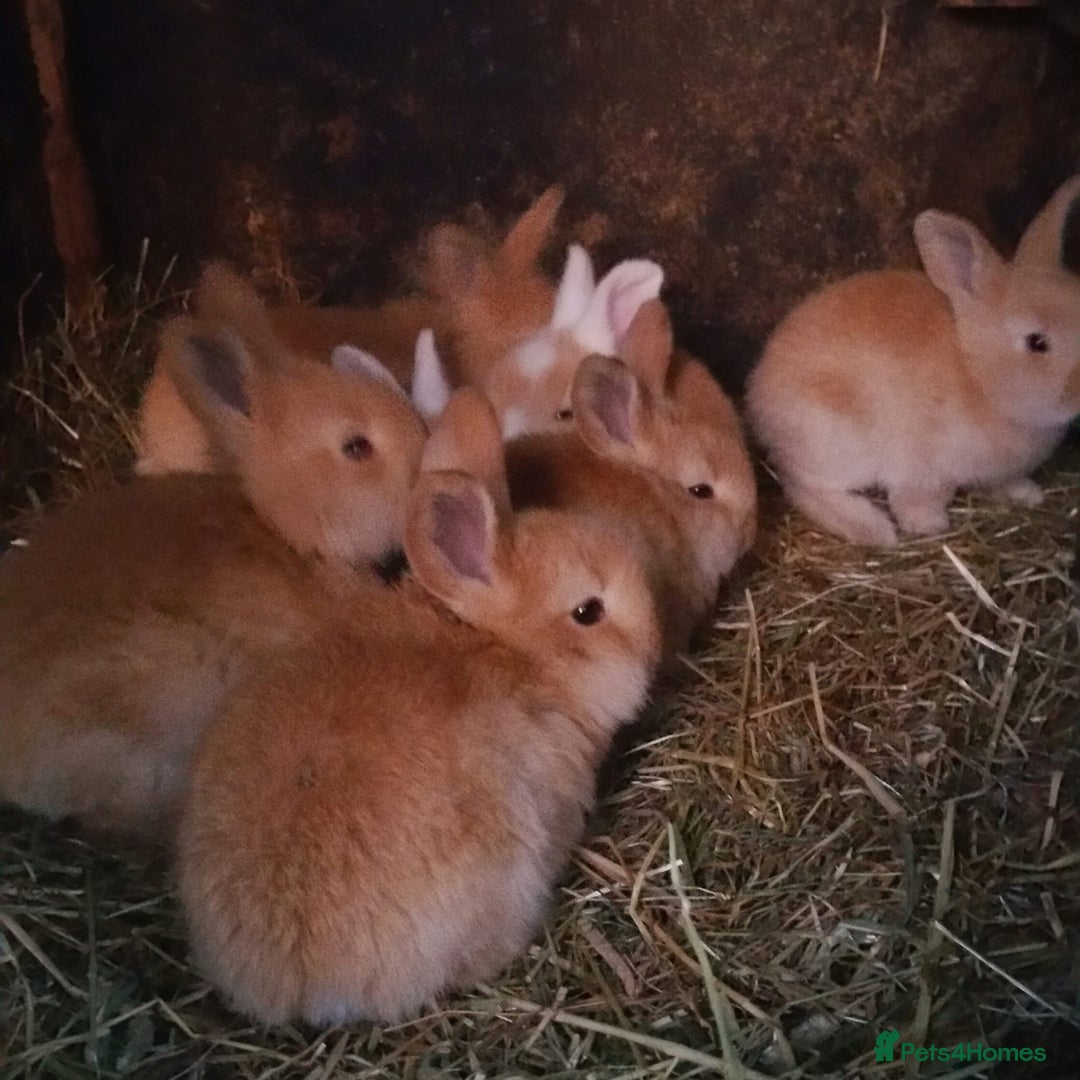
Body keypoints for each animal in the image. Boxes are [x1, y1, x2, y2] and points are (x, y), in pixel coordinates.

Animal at [745, 174, 1080, 547]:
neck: (976, 376)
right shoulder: (922, 468)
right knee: (802, 486)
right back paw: (874, 529)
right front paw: (928, 524)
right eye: (1037, 342)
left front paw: (1026, 493)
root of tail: (756, 398)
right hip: (835, 440)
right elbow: (916, 500)